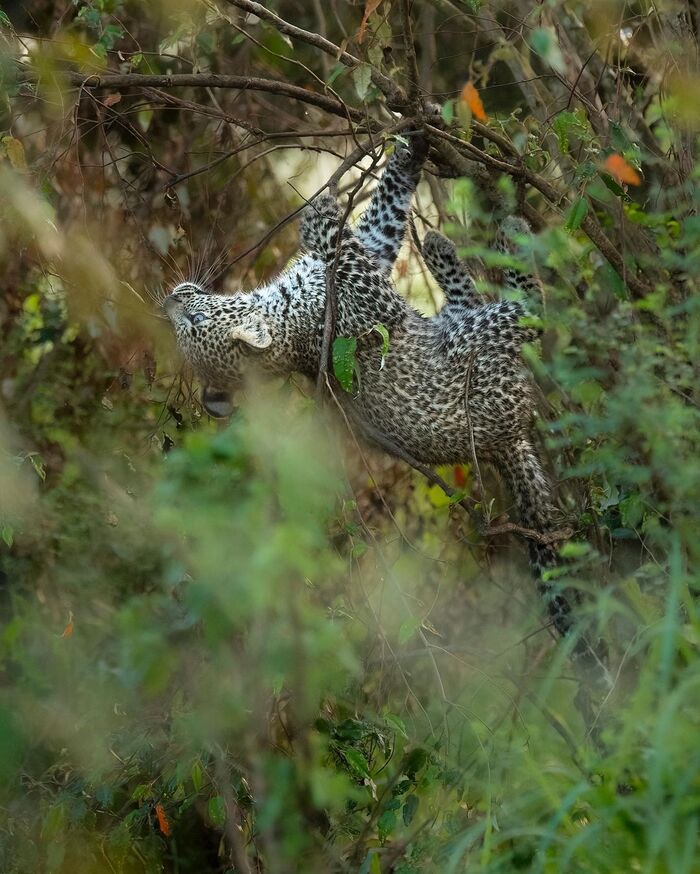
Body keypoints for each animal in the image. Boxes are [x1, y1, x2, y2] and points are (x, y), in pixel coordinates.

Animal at [164, 133, 608, 676]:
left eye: (190, 320)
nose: (170, 301)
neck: (280, 311)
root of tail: (507, 439)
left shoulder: (367, 253)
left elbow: (385, 207)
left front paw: (413, 139)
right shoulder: (374, 301)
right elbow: (347, 247)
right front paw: (320, 214)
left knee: (468, 301)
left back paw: (446, 247)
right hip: (473, 348)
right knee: (527, 314)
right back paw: (511, 237)